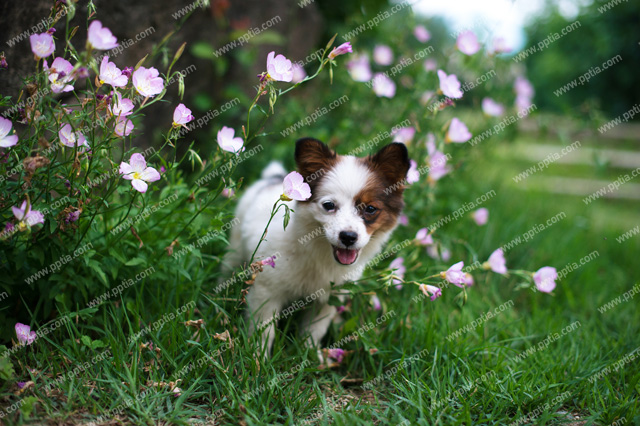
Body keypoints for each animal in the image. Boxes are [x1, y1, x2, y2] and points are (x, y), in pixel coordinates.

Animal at [225, 138, 410, 358]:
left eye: (371, 209)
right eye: (329, 205)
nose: (348, 237)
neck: (318, 253)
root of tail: (272, 178)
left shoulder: (327, 300)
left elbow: (314, 331)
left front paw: (310, 355)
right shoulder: (266, 291)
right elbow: (263, 331)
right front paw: (258, 358)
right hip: (235, 247)